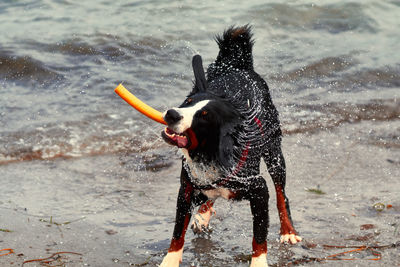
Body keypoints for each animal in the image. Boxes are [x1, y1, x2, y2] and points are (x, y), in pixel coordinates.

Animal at [159, 25, 300, 267]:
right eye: (187, 103)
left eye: (204, 116)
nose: (172, 114)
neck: (209, 155)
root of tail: (237, 66)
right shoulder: (186, 188)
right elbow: (177, 232)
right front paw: (169, 260)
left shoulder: (259, 189)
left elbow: (259, 237)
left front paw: (259, 262)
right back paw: (204, 213)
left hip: (274, 153)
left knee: (281, 194)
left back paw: (288, 231)